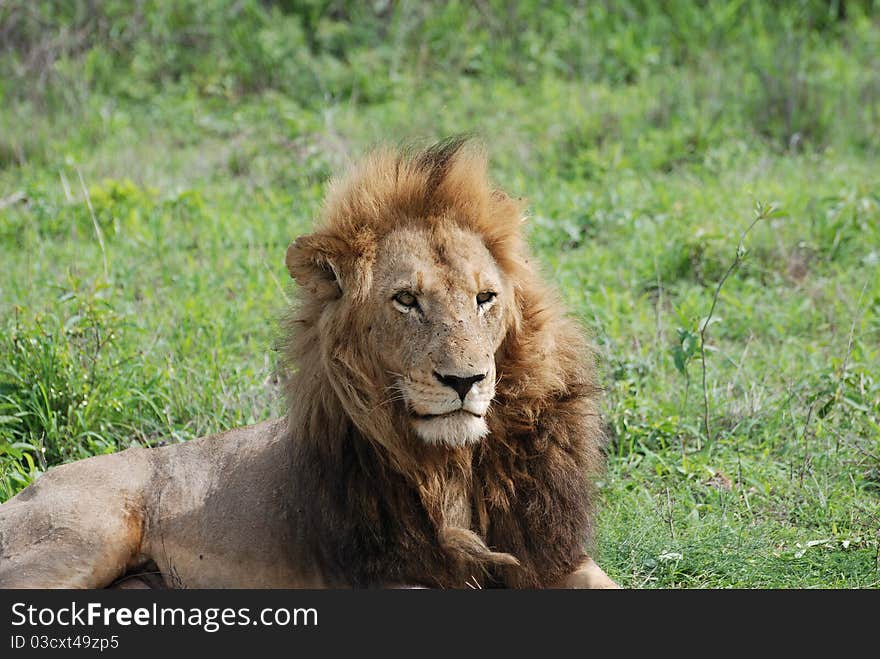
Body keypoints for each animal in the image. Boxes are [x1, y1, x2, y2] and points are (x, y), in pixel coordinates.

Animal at [0, 138, 620, 588]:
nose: (465, 381)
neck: (451, 467)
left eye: (485, 298)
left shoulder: (551, 553)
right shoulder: (388, 576)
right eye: (406, 300)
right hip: (87, 538)